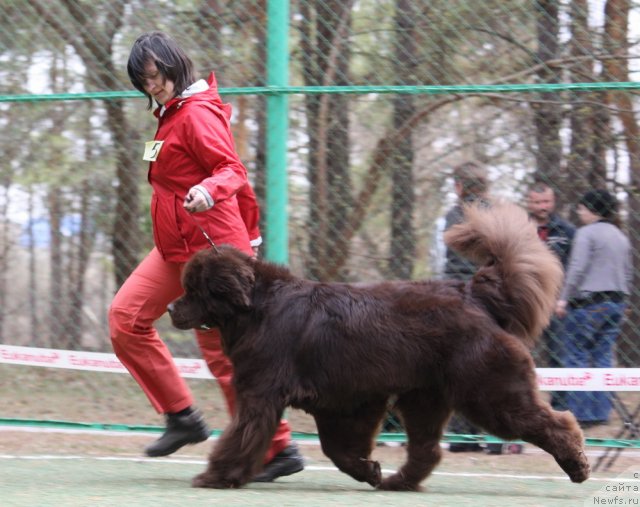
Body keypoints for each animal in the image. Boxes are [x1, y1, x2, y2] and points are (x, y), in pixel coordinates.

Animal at [169, 202, 592, 492]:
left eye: (194, 290)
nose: (172, 308)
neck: (255, 308)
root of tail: (473, 292)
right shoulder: (344, 402)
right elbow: (337, 449)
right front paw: (370, 470)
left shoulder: (265, 395)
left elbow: (243, 435)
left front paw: (216, 475)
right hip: (424, 397)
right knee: (427, 448)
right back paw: (398, 482)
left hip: (488, 391)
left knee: (553, 422)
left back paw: (577, 466)